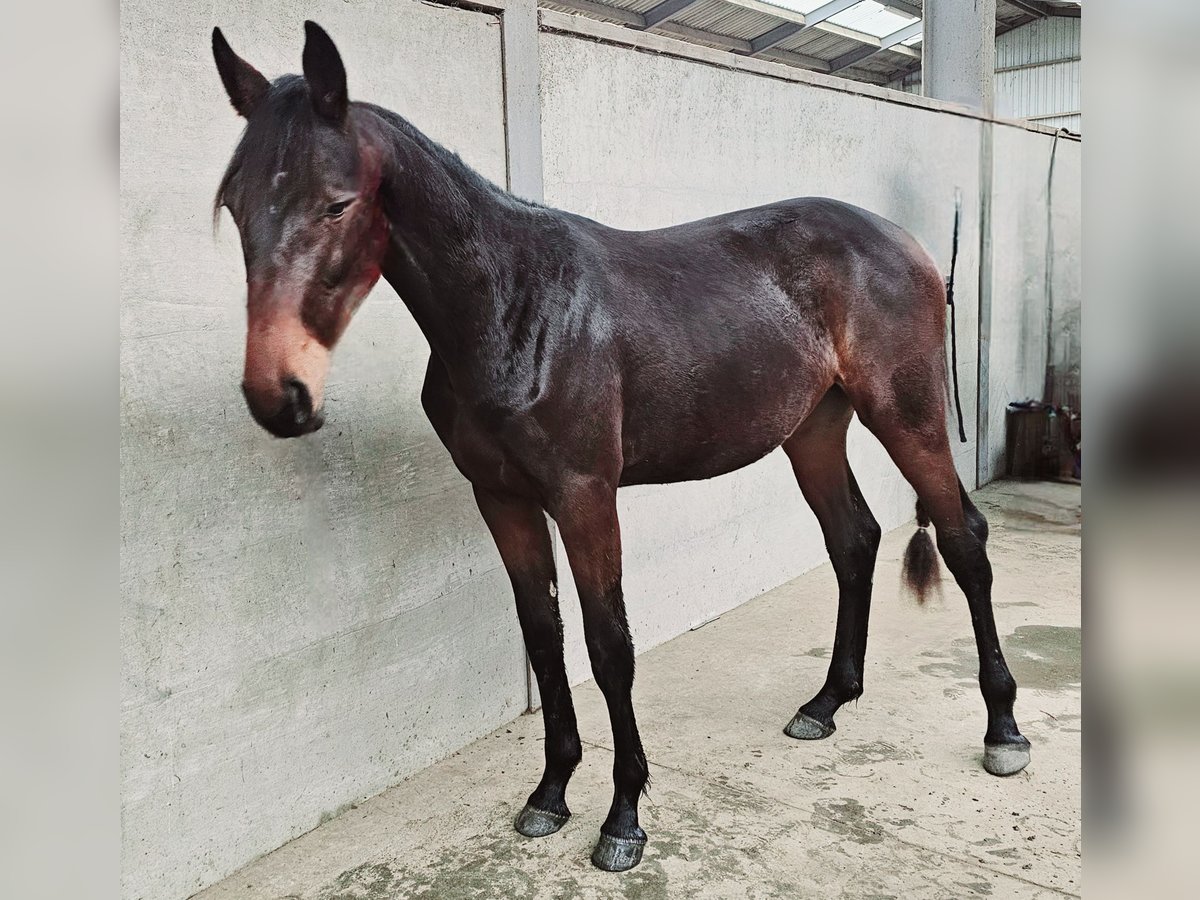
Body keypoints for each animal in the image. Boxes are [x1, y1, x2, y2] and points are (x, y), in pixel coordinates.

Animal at [208, 22, 1032, 873]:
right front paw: (549, 793)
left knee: (964, 540)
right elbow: (544, 637)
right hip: (812, 431)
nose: (278, 395)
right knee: (854, 539)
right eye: (233, 204)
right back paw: (828, 701)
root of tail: (908, 246)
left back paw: (1002, 729)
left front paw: (623, 815)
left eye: (338, 203)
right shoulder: (501, 498)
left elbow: (609, 647)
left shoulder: (584, 495)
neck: (514, 304)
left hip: (907, 415)